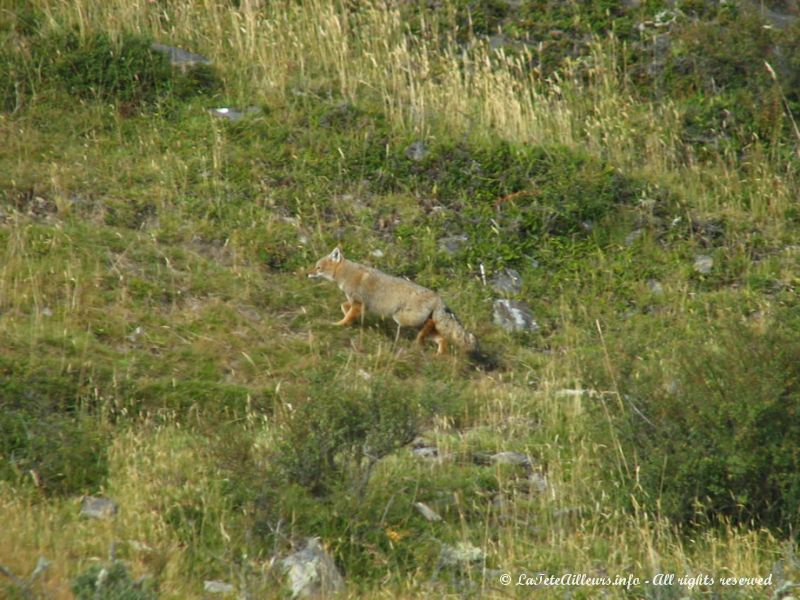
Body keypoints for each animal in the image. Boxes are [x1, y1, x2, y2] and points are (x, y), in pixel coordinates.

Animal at [306, 246, 476, 354]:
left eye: (318, 267)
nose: (307, 274)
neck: (347, 273)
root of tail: (438, 298)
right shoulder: (359, 304)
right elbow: (344, 306)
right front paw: (352, 321)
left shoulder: (358, 303)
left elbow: (346, 316)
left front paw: (339, 324)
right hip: (415, 324)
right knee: (441, 338)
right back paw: (438, 354)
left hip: (403, 319)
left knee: (431, 325)